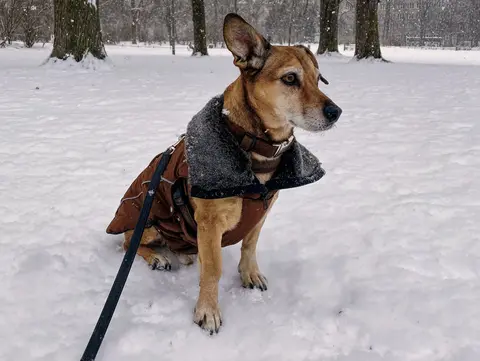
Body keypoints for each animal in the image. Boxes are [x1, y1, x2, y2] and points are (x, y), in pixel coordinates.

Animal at [109, 14, 342, 334]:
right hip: (149, 223)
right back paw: (157, 257)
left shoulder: (262, 212)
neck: (256, 148)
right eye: (290, 79)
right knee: (128, 245)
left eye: (318, 79)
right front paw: (207, 310)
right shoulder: (209, 222)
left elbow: (250, 245)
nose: (336, 112)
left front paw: (249, 274)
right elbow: (213, 269)